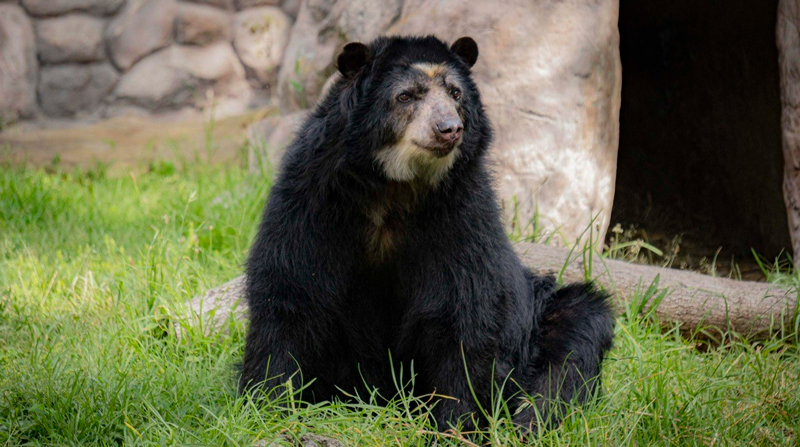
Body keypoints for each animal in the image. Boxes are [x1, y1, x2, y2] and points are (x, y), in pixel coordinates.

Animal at [240, 35, 615, 431]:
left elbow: (465, 308)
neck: (395, 185)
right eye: (406, 96)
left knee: (573, 341)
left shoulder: (463, 213)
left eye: (455, 94)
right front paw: (267, 405)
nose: (449, 128)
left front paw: (456, 423)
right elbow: (292, 289)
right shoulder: (313, 201)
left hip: (538, 321)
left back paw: (528, 420)